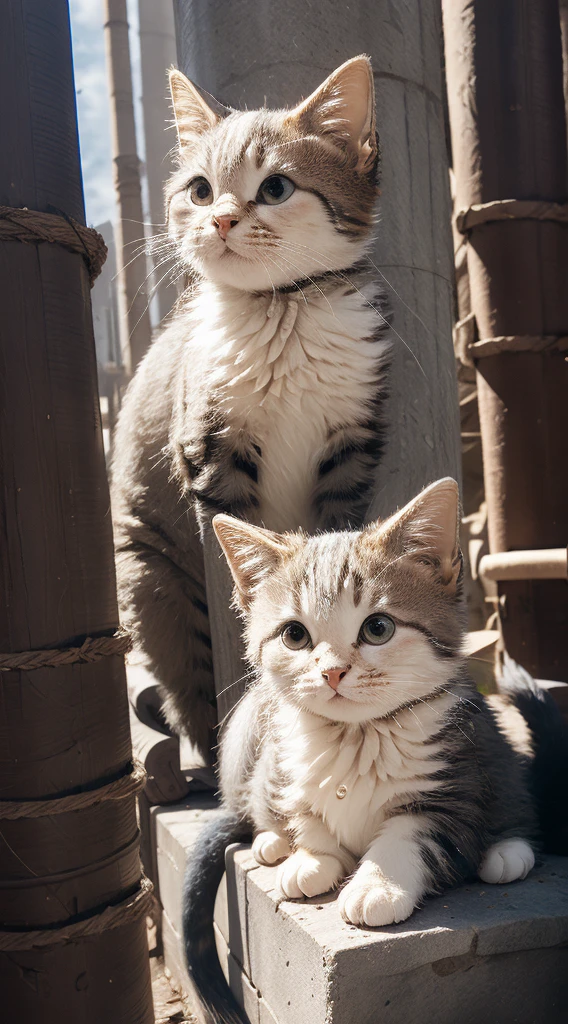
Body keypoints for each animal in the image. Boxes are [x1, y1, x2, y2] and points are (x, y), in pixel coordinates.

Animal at [113, 58, 392, 761]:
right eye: (200, 190)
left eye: (276, 187)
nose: (219, 220)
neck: (280, 310)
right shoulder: (211, 456)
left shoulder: (349, 455)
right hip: (152, 579)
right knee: (187, 678)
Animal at [183, 477, 568, 1024]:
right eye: (294, 635)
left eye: (378, 628)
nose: (332, 672)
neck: (358, 735)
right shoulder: (289, 764)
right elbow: (307, 814)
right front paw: (311, 856)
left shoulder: (454, 782)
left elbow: (411, 834)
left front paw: (376, 886)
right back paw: (273, 842)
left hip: (491, 750)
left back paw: (506, 851)